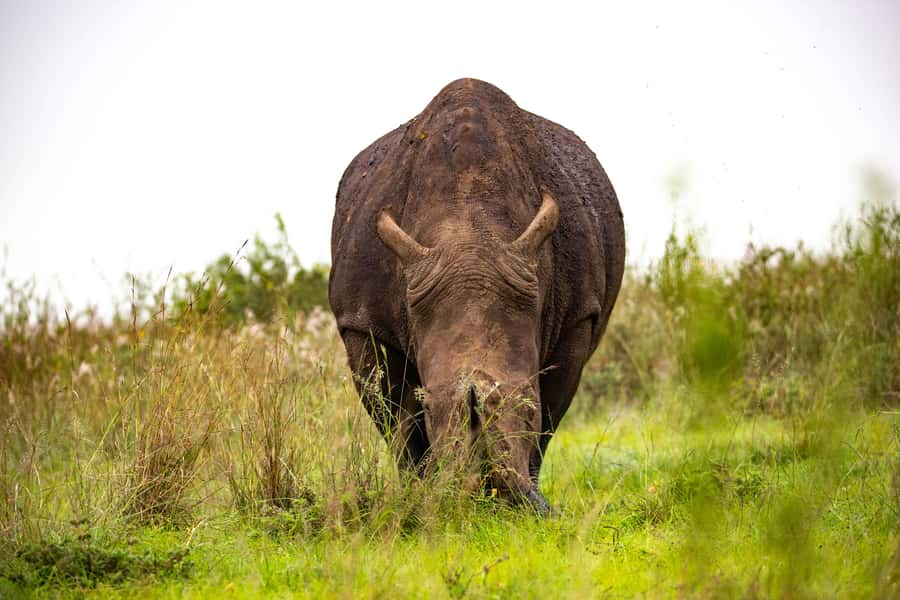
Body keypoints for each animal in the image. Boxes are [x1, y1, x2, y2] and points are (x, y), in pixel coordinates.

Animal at [329, 78, 625, 513]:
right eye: (429, 405)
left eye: (529, 405)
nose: (487, 489)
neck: (469, 223)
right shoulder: (363, 322)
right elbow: (396, 421)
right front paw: (416, 497)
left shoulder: (577, 315)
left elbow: (550, 419)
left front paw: (535, 498)